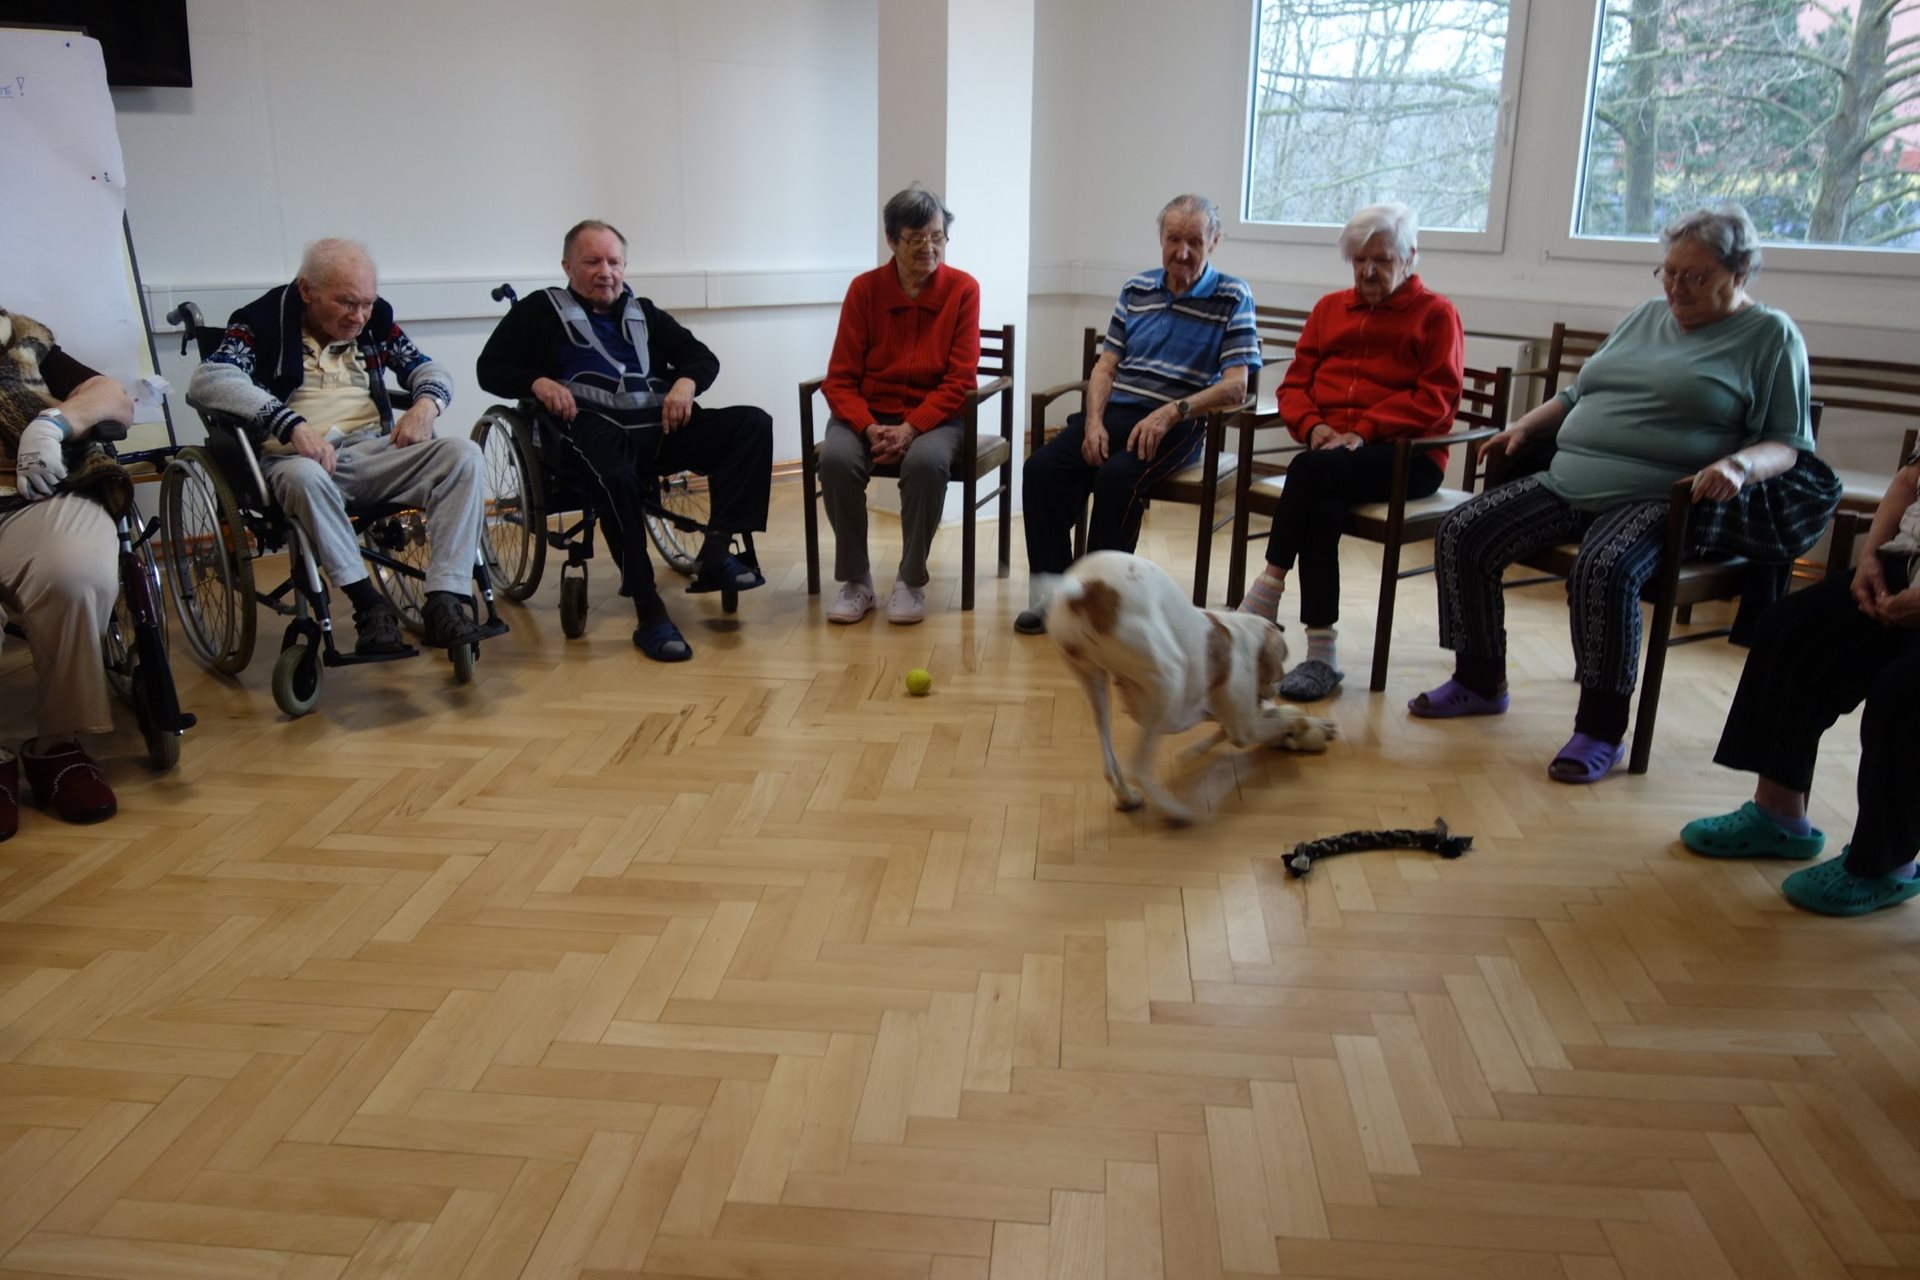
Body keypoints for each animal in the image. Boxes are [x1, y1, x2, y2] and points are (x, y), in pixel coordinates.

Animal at [1047, 551, 1336, 824]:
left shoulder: (1218, 713)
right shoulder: (1243, 729)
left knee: (1111, 764)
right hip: (1169, 680)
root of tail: (1083, 587)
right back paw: (1175, 811)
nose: (1272, 693)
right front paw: (1301, 725)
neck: (1240, 635)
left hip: (1095, 685)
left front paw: (1320, 725)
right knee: (1139, 767)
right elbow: (1281, 722)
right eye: (1277, 672)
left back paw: (1127, 797)